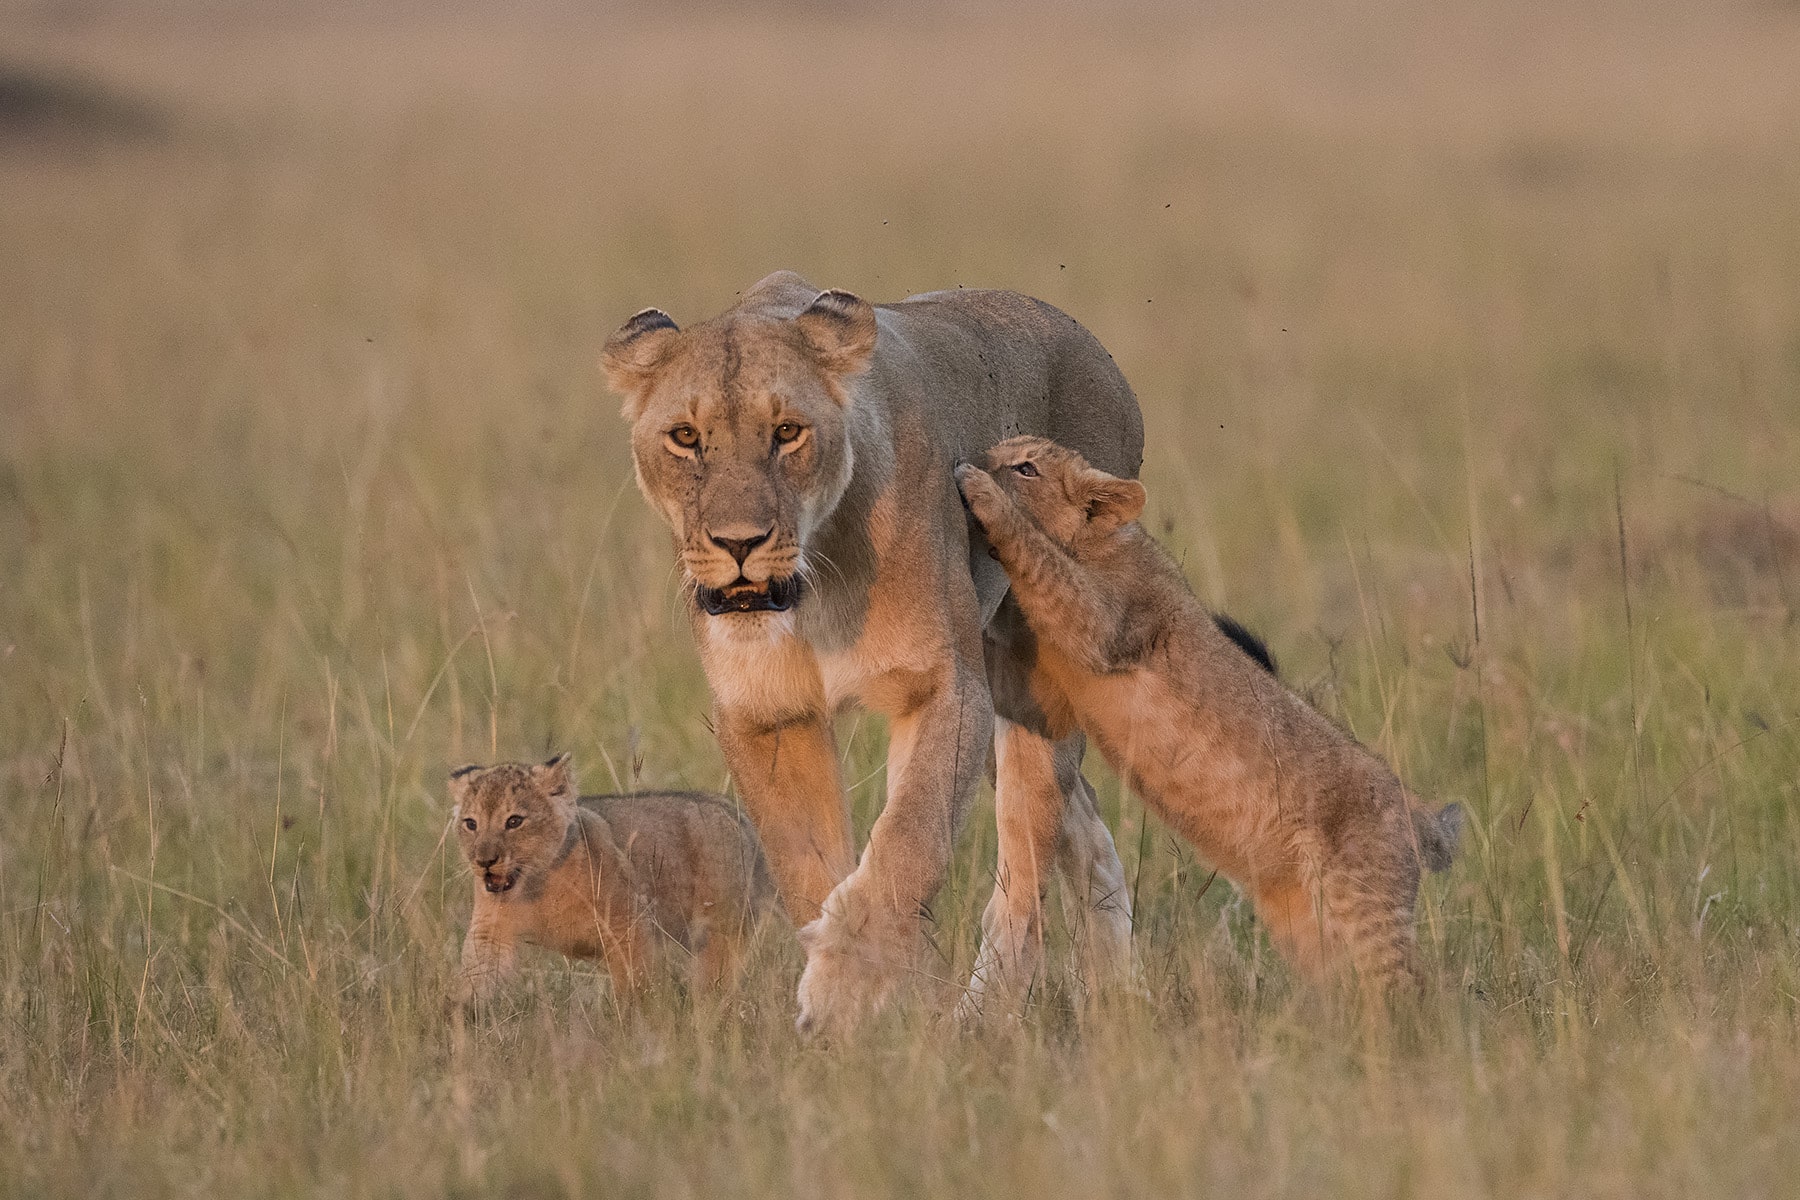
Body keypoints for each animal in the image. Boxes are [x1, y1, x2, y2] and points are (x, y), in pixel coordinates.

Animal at [452, 754, 779, 1005]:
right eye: (471, 824)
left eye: (514, 821)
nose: (484, 861)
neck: (537, 888)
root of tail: (737, 814)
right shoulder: (490, 933)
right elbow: (477, 975)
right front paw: (463, 1020)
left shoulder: (629, 928)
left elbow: (636, 987)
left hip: (720, 930)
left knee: (714, 981)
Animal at [601, 271, 1145, 1034]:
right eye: (685, 438)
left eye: (787, 432)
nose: (739, 544)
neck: (815, 586)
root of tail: (1082, 337)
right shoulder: (767, 714)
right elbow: (807, 862)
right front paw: (856, 1005)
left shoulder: (946, 687)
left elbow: (909, 839)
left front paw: (851, 983)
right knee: (1082, 820)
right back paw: (1118, 987)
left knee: (1027, 863)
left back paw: (984, 1013)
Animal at [955, 437, 1463, 995]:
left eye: (1026, 468)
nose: (980, 458)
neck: (1099, 542)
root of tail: (1419, 813)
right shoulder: (1044, 691)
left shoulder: (1104, 622)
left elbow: (1041, 558)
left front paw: (979, 489)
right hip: (1311, 926)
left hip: (1367, 905)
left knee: (1413, 989)